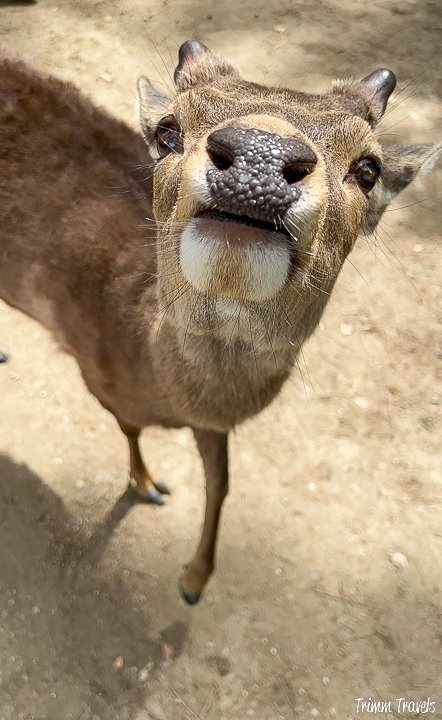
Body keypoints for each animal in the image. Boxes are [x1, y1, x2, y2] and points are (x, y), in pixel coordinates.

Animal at [0, 40, 439, 604]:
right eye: (167, 132)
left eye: (368, 167)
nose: (260, 153)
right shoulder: (95, 373)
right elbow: (128, 427)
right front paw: (148, 485)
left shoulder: (212, 423)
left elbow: (221, 481)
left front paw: (194, 579)